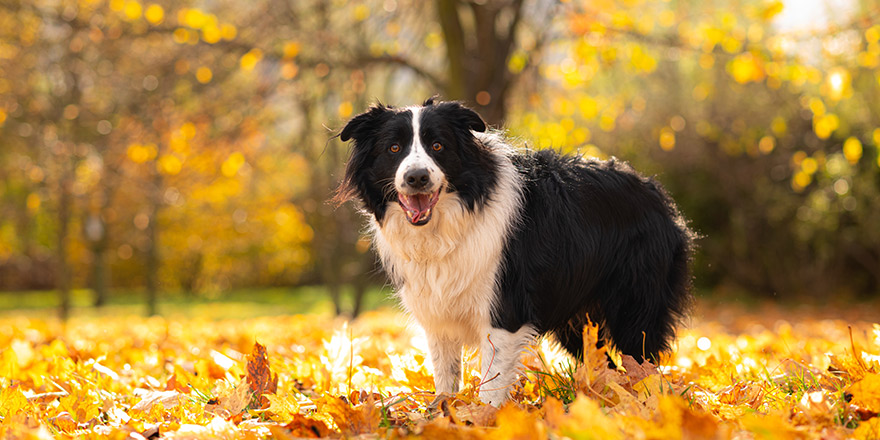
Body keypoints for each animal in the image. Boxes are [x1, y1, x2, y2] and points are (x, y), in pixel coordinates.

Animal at [336, 99, 696, 406]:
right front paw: (442, 412)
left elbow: (492, 384)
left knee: (641, 356)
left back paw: (641, 401)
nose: (417, 178)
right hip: (577, 318)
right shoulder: (437, 311)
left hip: (635, 301)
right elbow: (446, 374)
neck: (448, 223)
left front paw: (482, 419)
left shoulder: (504, 308)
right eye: (393, 148)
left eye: (438, 146)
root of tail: (656, 192)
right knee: (604, 361)